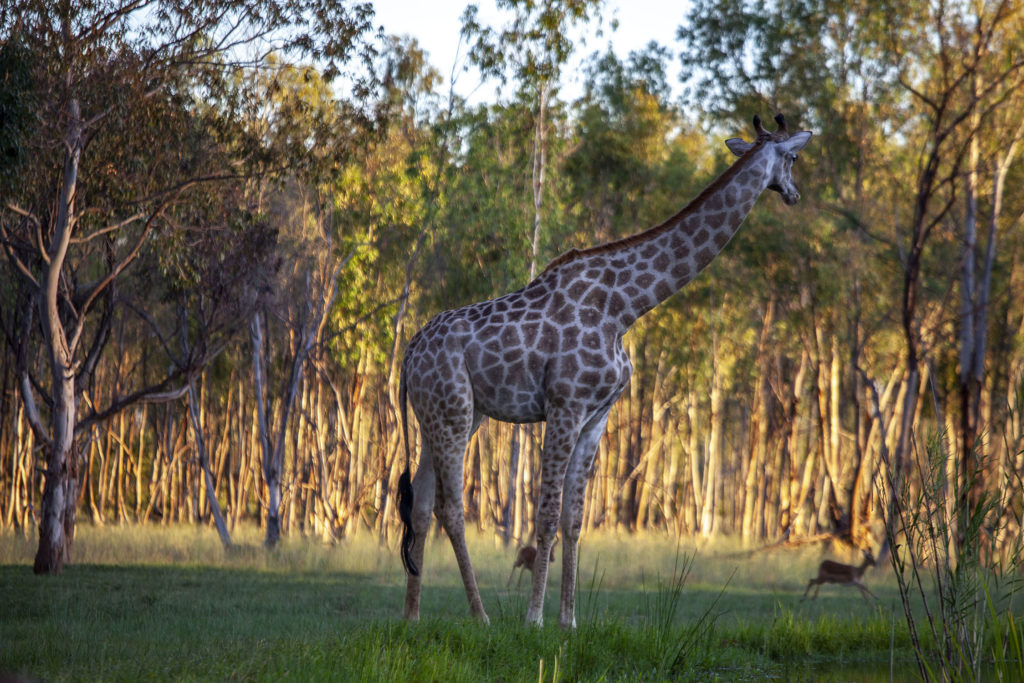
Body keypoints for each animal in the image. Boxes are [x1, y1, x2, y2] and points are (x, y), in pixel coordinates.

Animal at [395, 113, 811, 630]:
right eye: (792, 158)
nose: (795, 195)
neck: (625, 306)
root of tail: (409, 355)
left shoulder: (598, 414)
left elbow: (574, 518)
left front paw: (568, 622)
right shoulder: (565, 405)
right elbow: (546, 514)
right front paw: (534, 619)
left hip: (447, 414)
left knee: (421, 504)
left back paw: (411, 617)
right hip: (451, 411)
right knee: (451, 507)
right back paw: (482, 616)